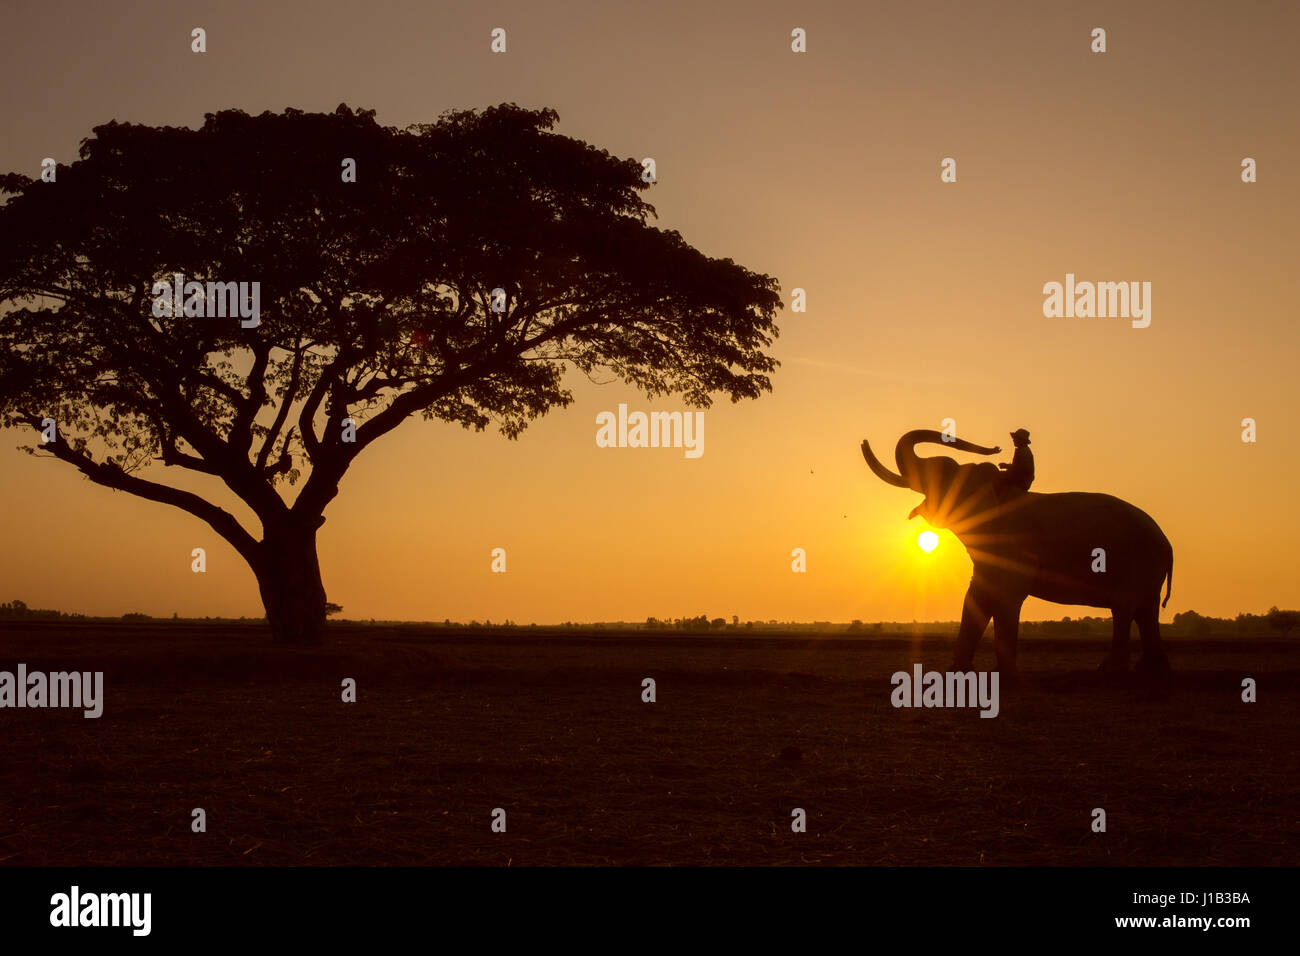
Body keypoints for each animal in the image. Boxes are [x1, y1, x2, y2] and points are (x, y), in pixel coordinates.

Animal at [863, 429, 1180, 686]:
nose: (996, 448)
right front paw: (958, 674)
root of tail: (1167, 543)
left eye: (944, 470)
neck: (998, 490)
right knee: (1145, 611)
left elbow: (1008, 596)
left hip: (1136, 561)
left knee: (1125, 608)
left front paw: (1009, 678)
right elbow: (976, 596)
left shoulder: (1015, 549)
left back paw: (1112, 672)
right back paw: (1151, 672)